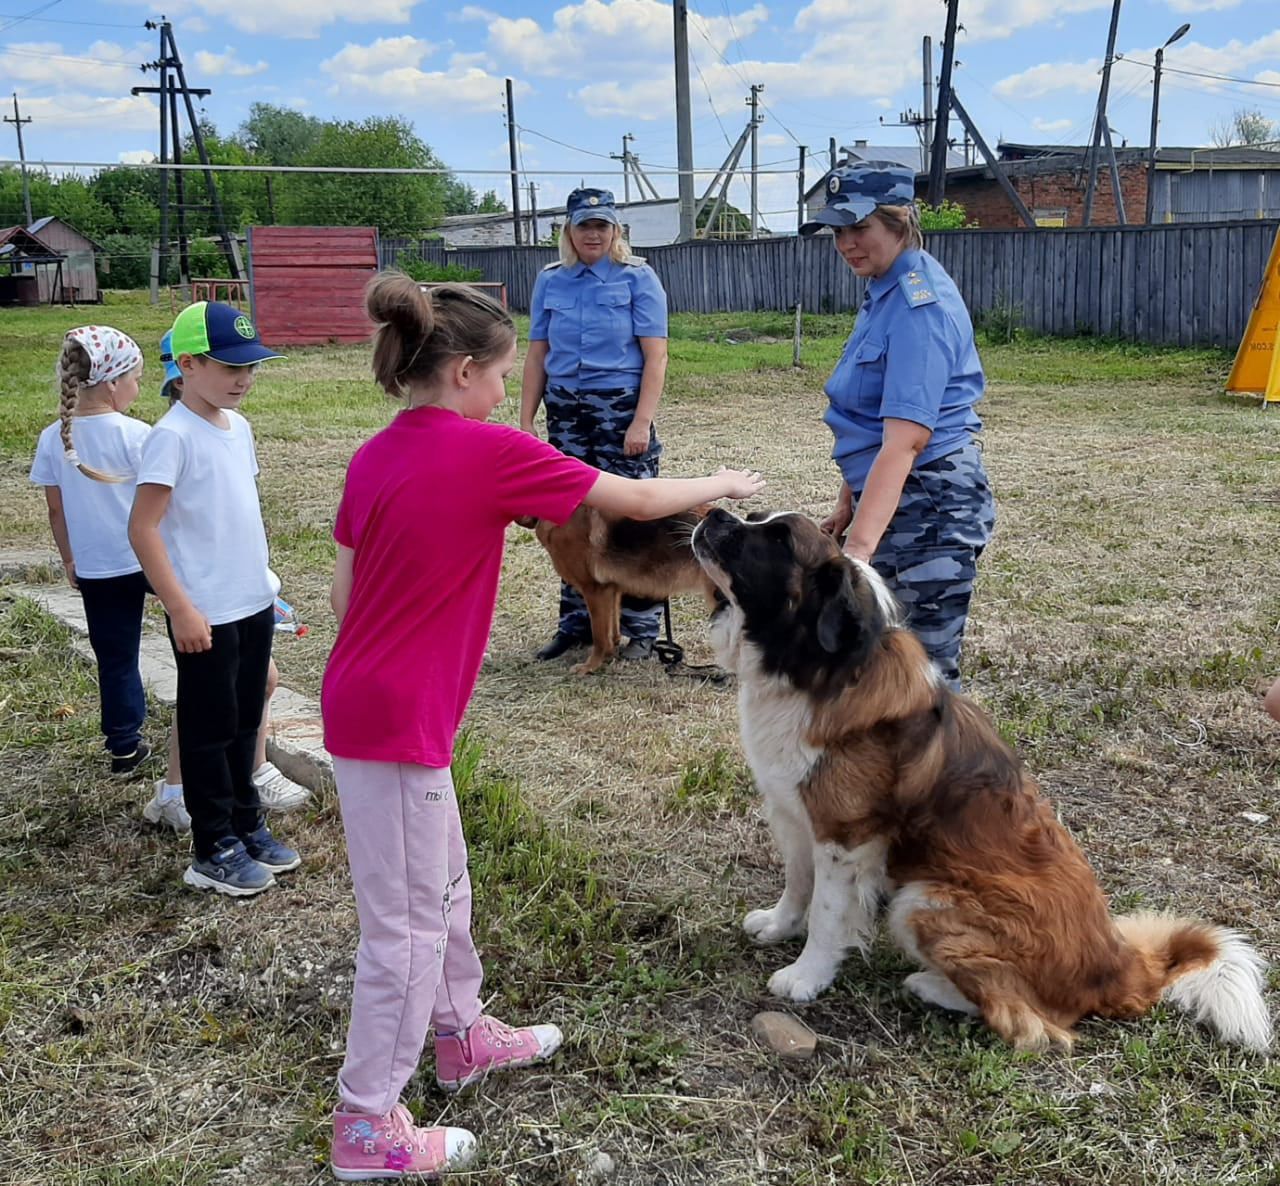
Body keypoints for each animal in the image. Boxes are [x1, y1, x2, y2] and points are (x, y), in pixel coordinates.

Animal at [519, 506, 721, 675]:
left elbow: (599, 636)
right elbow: (612, 628)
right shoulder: (612, 590)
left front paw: (590, 666)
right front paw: (610, 654)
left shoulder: (594, 591)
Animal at [696, 506, 1274, 1054]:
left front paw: (807, 976)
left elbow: (827, 912)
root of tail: (1120, 966)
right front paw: (778, 926)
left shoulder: (845, 836)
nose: (716, 513)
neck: (816, 669)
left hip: (924, 899)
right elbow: (798, 884)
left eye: (778, 540)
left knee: (1030, 1020)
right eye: (757, 519)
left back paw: (930, 985)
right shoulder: (795, 812)